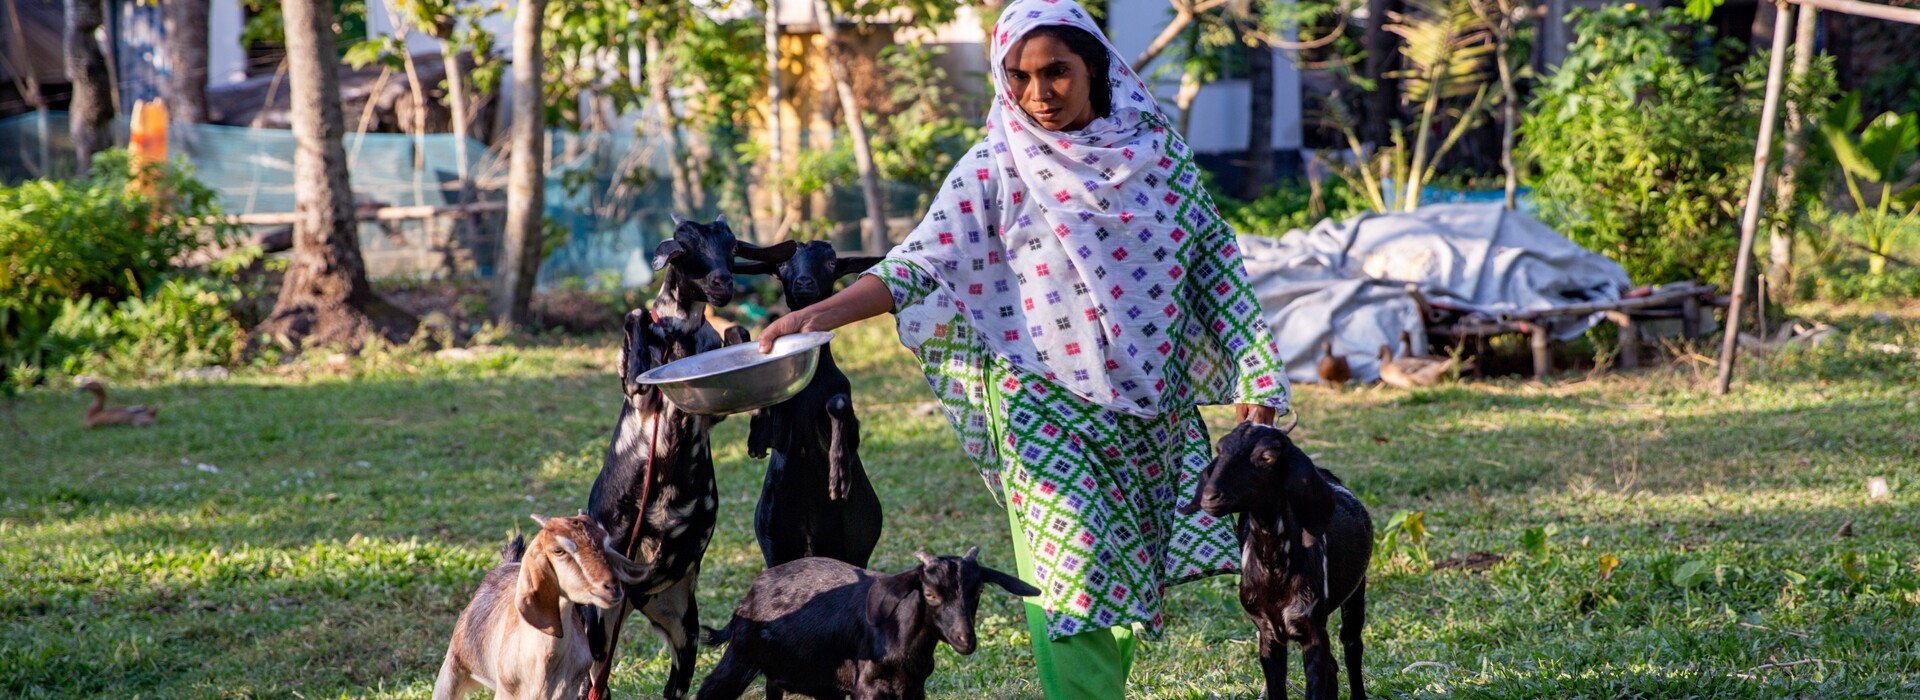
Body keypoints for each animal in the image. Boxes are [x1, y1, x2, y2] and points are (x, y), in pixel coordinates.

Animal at [579, 213, 798, 698]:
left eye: (731, 246)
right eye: (684, 250)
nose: (723, 284)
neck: (680, 336)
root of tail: (638, 596)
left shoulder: (708, 409)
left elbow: (738, 334)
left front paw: (758, 436)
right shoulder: (640, 393)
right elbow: (636, 318)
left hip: (684, 628)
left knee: (670, 687)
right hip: (597, 627)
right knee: (593, 683)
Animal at [698, 548, 1044, 694]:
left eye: (980, 589)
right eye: (930, 594)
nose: (965, 640)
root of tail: (747, 598)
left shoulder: (913, 688)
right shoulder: (867, 687)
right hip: (740, 657)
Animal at [729, 239, 887, 567]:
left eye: (831, 262)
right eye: (782, 264)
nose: (803, 283)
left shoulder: (848, 421)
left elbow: (838, 405)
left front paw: (838, 476)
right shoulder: (779, 438)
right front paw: (755, 430)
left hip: (850, 549)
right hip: (777, 547)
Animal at [1175, 420, 1374, 698]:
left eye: (1267, 457)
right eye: (1220, 449)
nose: (1211, 496)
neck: (1275, 572)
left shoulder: (1313, 628)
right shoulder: (1267, 634)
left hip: (1356, 591)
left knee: (1351, 645)